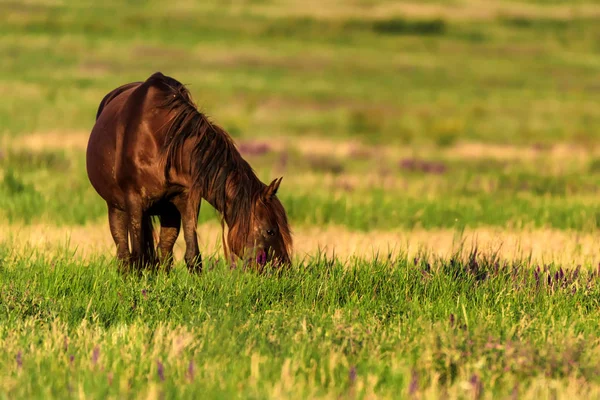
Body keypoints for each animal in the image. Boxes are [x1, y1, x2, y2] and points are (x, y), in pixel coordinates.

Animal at [86, 71, 292, 272]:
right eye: (270, 231)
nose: (284, 269)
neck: (162, 144)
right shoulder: (134, 202)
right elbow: (137, 257)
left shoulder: (187, 199)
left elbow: (192, 255)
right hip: (117, 207)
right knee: (124, 253)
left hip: (168, 211)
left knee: (164, 251)